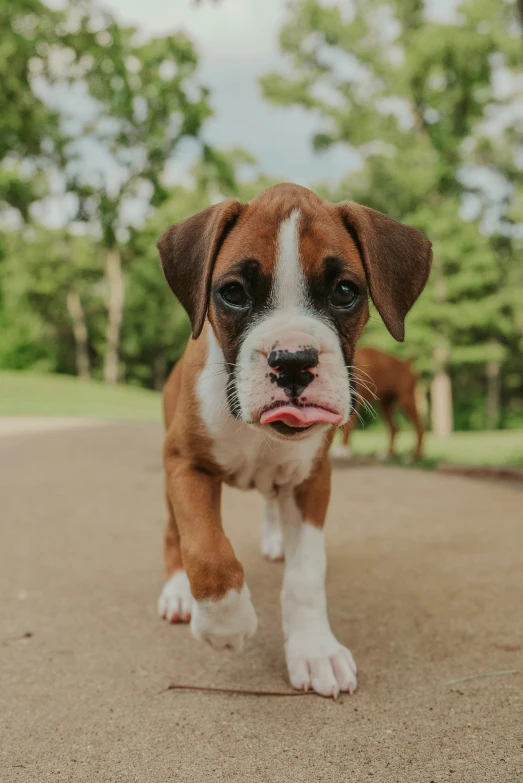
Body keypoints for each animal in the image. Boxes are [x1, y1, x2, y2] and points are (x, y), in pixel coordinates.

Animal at [157, 184, 434, 700]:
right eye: (233, 293)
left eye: (345, 291)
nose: (292, 361)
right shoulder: (186, 464)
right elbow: (205, 548)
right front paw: (226, 624)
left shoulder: (311, 481)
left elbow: (306, 574)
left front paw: (314, 650)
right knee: (174, 533)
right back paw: (179, 592)